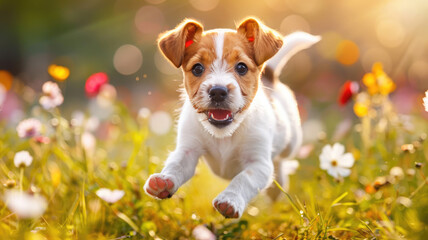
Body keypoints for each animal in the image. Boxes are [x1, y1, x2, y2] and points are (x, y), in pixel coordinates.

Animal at [145, 16, 320, 218]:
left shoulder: (258, 164)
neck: (224, 134)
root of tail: (270, 77)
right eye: (197, 68)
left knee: (282, 161)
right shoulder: (187, 150)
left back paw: (279, 183)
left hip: (291, 143)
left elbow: (243, 179)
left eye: (241, 67)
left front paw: (230, 199)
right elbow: (176, 164)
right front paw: (164, 180)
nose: (218, 91)